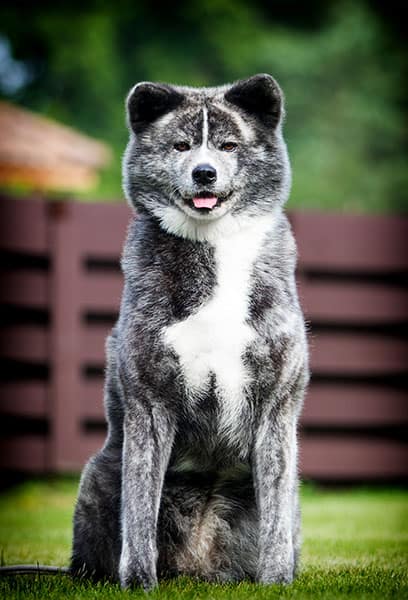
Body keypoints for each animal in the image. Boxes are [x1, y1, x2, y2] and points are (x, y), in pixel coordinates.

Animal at [70, 72, 308, 588]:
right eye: (181, 145)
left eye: (228, 145)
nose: (204, 173)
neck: (215, 246)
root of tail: (197, 568)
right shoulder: (149, 405)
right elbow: (140, 507)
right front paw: (139, 583)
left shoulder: (276, 409)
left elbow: (276, 511)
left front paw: (276, 581)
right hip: (98, 477)